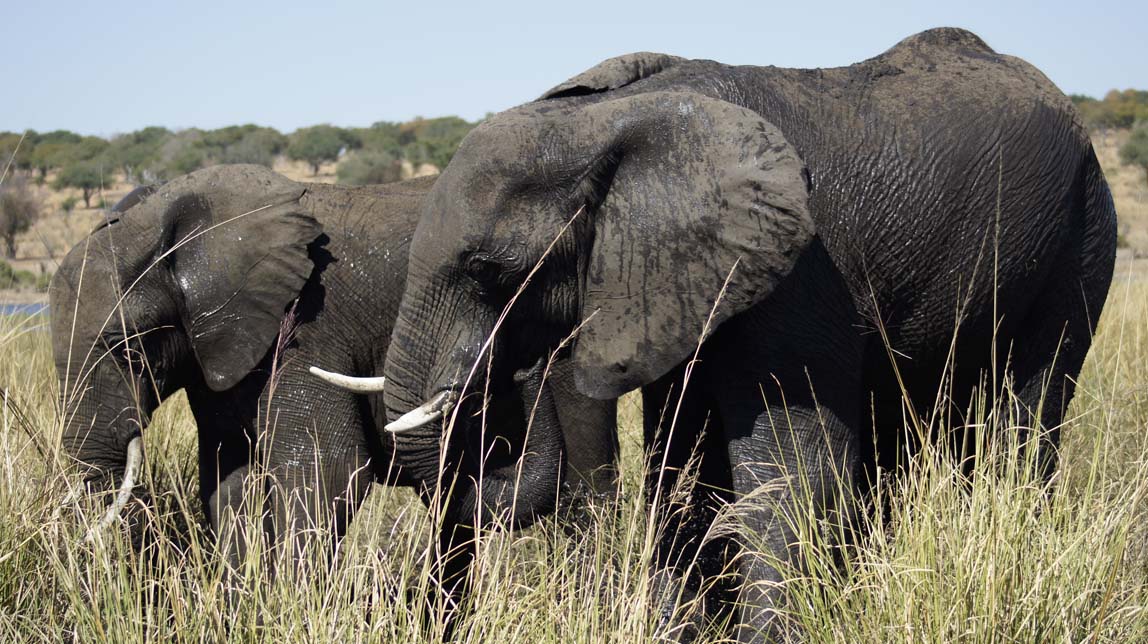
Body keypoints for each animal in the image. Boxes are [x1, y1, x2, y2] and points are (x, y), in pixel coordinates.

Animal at [51, 164, 619, 587]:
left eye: (130, 349)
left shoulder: (308, 329)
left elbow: (325, 474)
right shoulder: (218, 354)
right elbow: (229, 482)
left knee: (583, 491)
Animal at [314, 28, 1111, 638]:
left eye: (490, 269)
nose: (512, 364)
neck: (609, 123)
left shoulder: (800, 274)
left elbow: (789, 462)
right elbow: (682, 463)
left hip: (1080, 240)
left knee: (1026, 413)